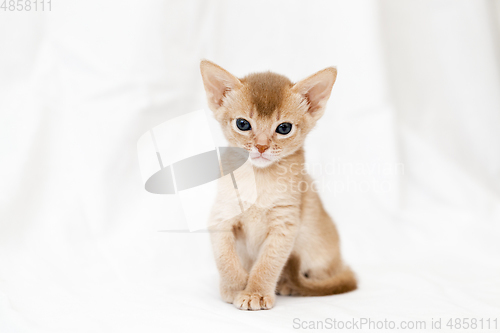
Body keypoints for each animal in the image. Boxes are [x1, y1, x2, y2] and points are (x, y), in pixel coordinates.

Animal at [199, 60, 356, 312]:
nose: (262, 146)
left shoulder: (285, 224)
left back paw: (288, 284)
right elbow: (226, 259)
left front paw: (255, 292)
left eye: (284, 128)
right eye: (243, 124)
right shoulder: (221, 216)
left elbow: (268, 263)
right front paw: (234, 287)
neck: (259, 178)